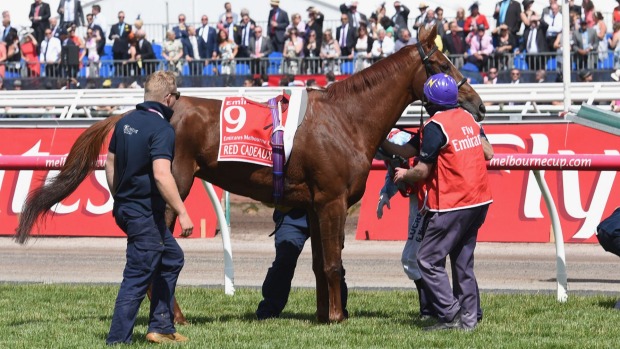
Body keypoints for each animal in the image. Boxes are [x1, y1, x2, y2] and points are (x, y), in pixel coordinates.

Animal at [14, 25, 484, 322]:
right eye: (442, 64)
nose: (477, 105)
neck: (345, 118)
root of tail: (139, 111)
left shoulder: (313, 204)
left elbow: (318, 264)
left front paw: (323, 315)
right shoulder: (330, 201)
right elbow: (333, 264)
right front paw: (337, 316)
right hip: (172, 188)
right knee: (157, 253)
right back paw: (173, 316)